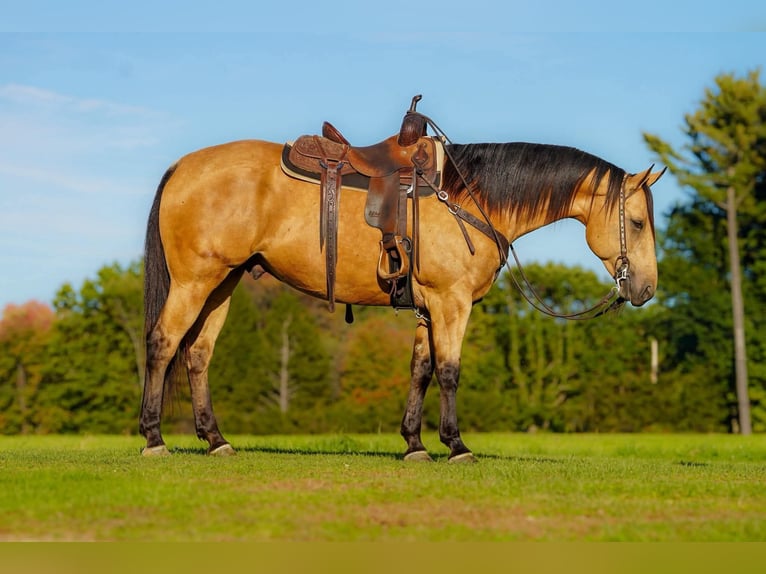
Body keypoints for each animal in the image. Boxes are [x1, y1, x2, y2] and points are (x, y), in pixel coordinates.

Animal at [139, 128, 664, 462]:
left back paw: (215, 440)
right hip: (194, 282)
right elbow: (449, 372)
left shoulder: (430, 307)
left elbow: (421, 370)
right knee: (163, 345)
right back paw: (153, 438)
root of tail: (182, 166)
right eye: (638, 223)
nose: (646, 288)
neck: (470, 198)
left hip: (221, 285)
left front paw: (414, 444)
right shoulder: (451, 303)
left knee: (198, 355)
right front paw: (456, 446)